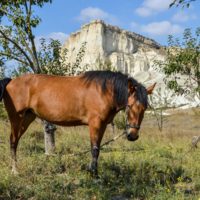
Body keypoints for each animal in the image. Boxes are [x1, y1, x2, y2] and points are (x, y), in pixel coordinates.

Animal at [0, 70, 155, 175]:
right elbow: (94, 149)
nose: (132, 135)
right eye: (129, 105)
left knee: (15, 139)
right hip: (16, 117)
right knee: (13, 141)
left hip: (28, 117)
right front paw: (95, 175)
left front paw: (91, 170)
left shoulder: (102, 125)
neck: (104, 91)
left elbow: (97, 148)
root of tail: (11, 81)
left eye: (145, 107)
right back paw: (14, 170)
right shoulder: (95, 124)